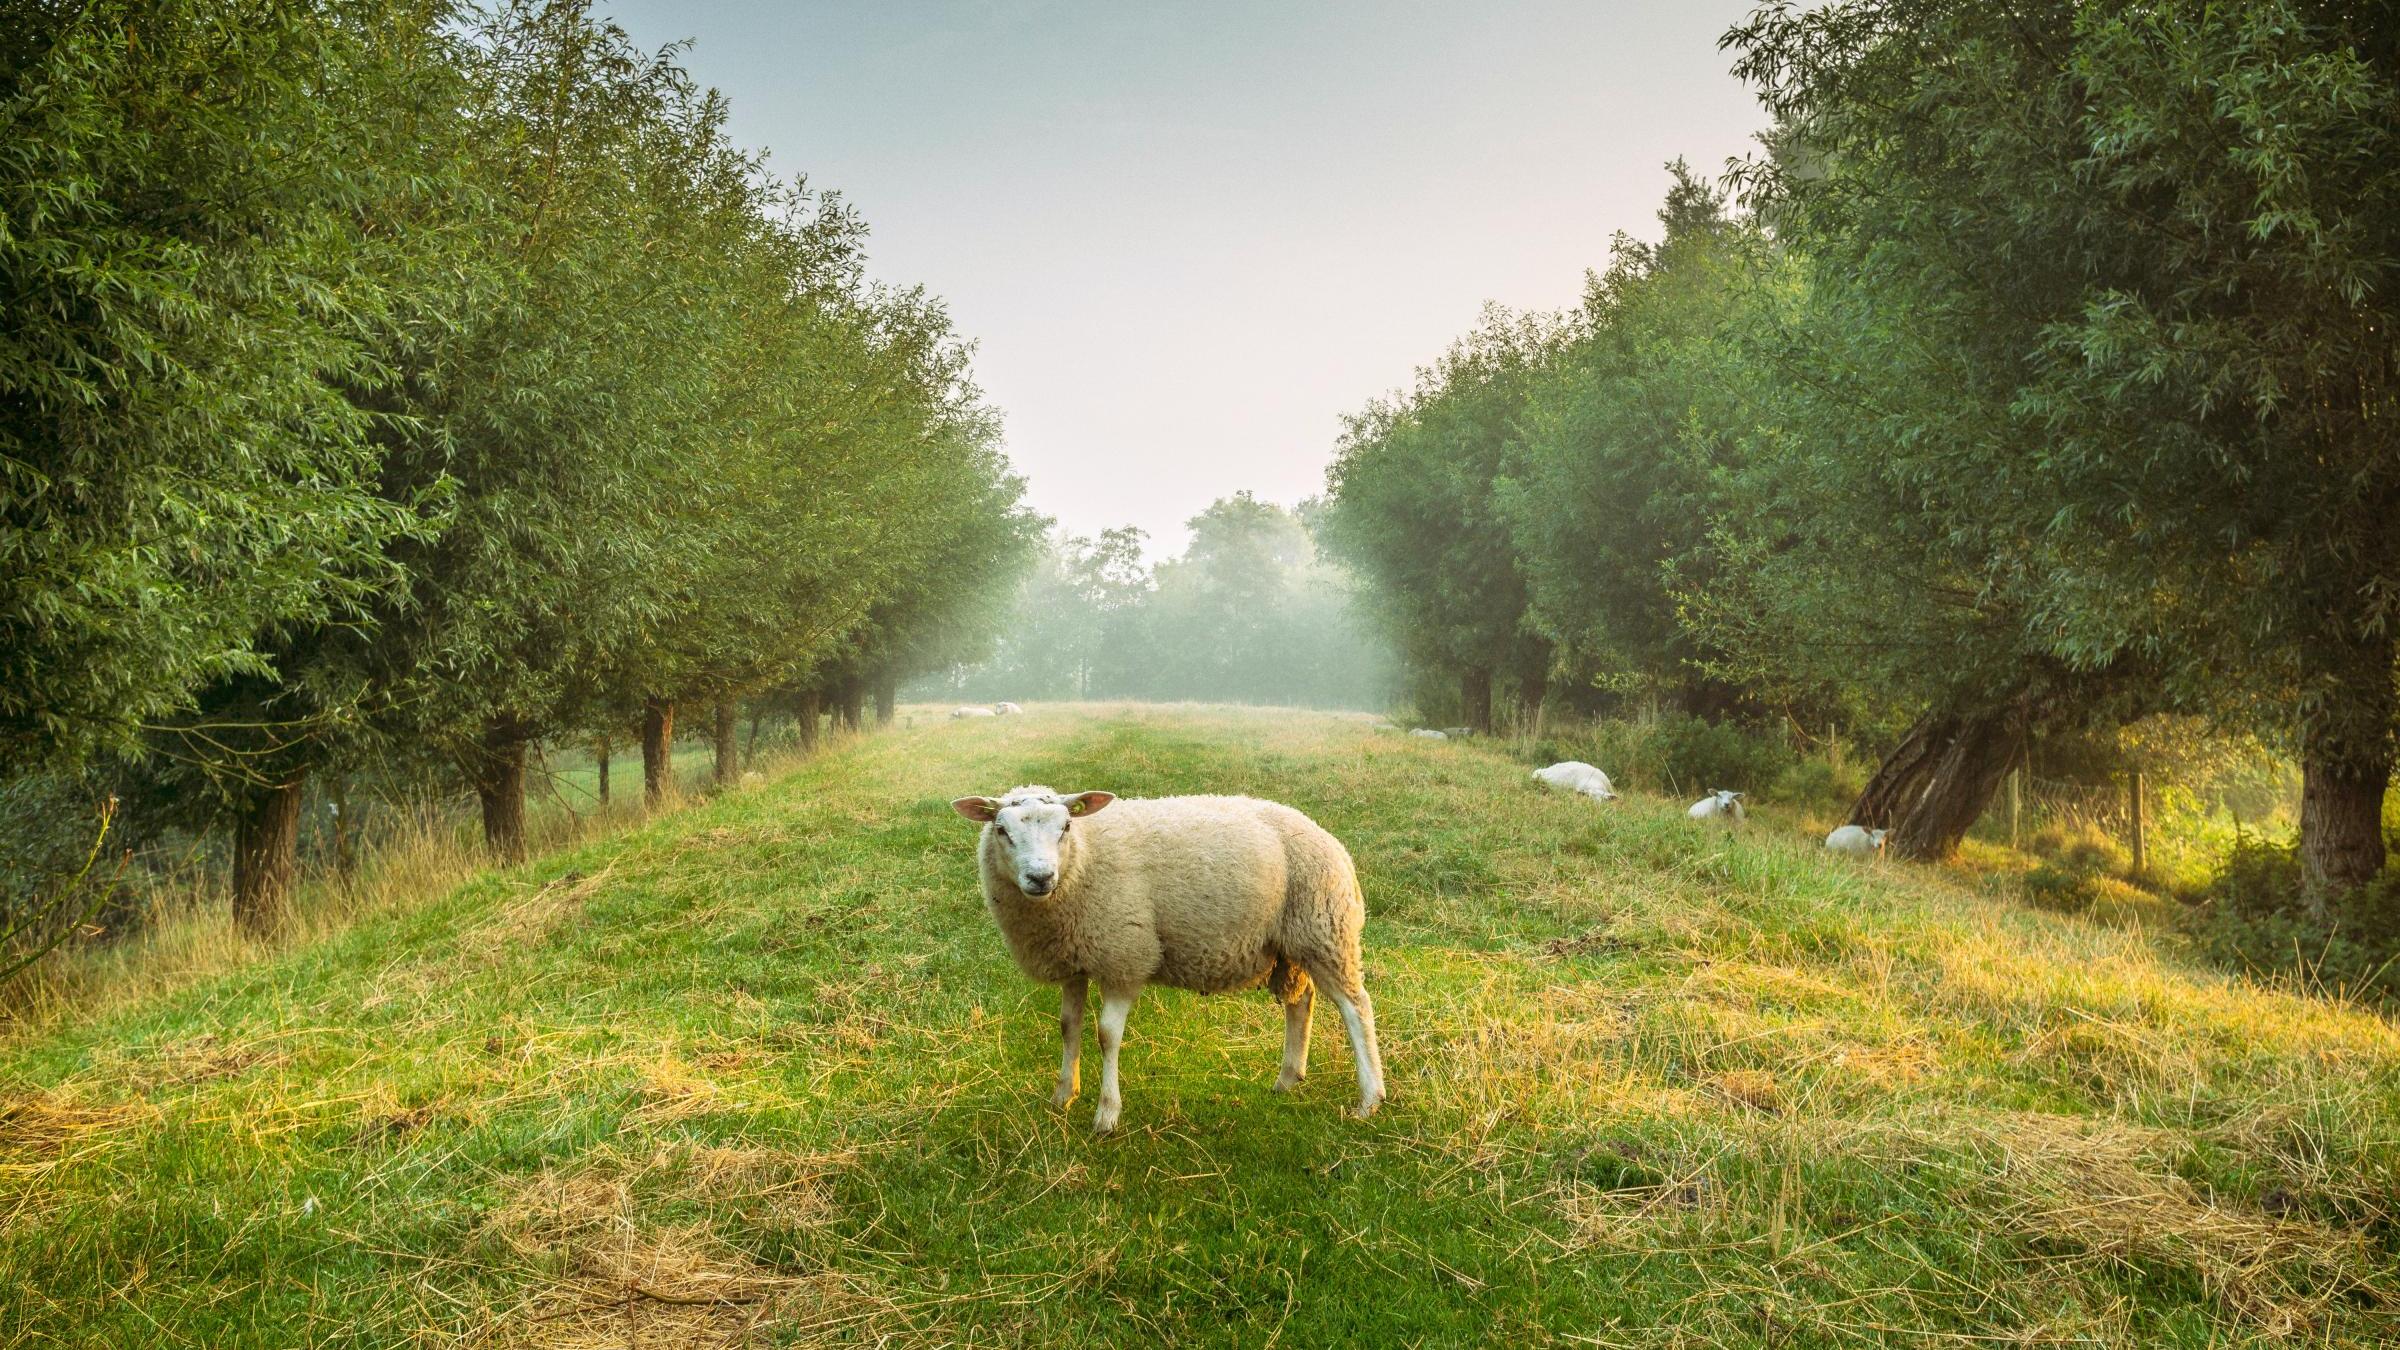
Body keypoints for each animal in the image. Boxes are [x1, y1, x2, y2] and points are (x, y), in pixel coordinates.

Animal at [945, 783, 1382, 1129]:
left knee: (1356, 1006)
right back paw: (1288, 1079)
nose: (1040, 878)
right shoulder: (1075, 959)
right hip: (1289, 945)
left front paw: (1106, 1114)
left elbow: (1107, 1035)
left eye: (1066, 827)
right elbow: (1068, 1027)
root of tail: (1329, 839)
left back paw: (1370, 1098)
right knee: (1302, 1002)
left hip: (1324, 928)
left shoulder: (1123, 955)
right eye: (1002, 830)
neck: (1082, 860)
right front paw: (1063, 1096)